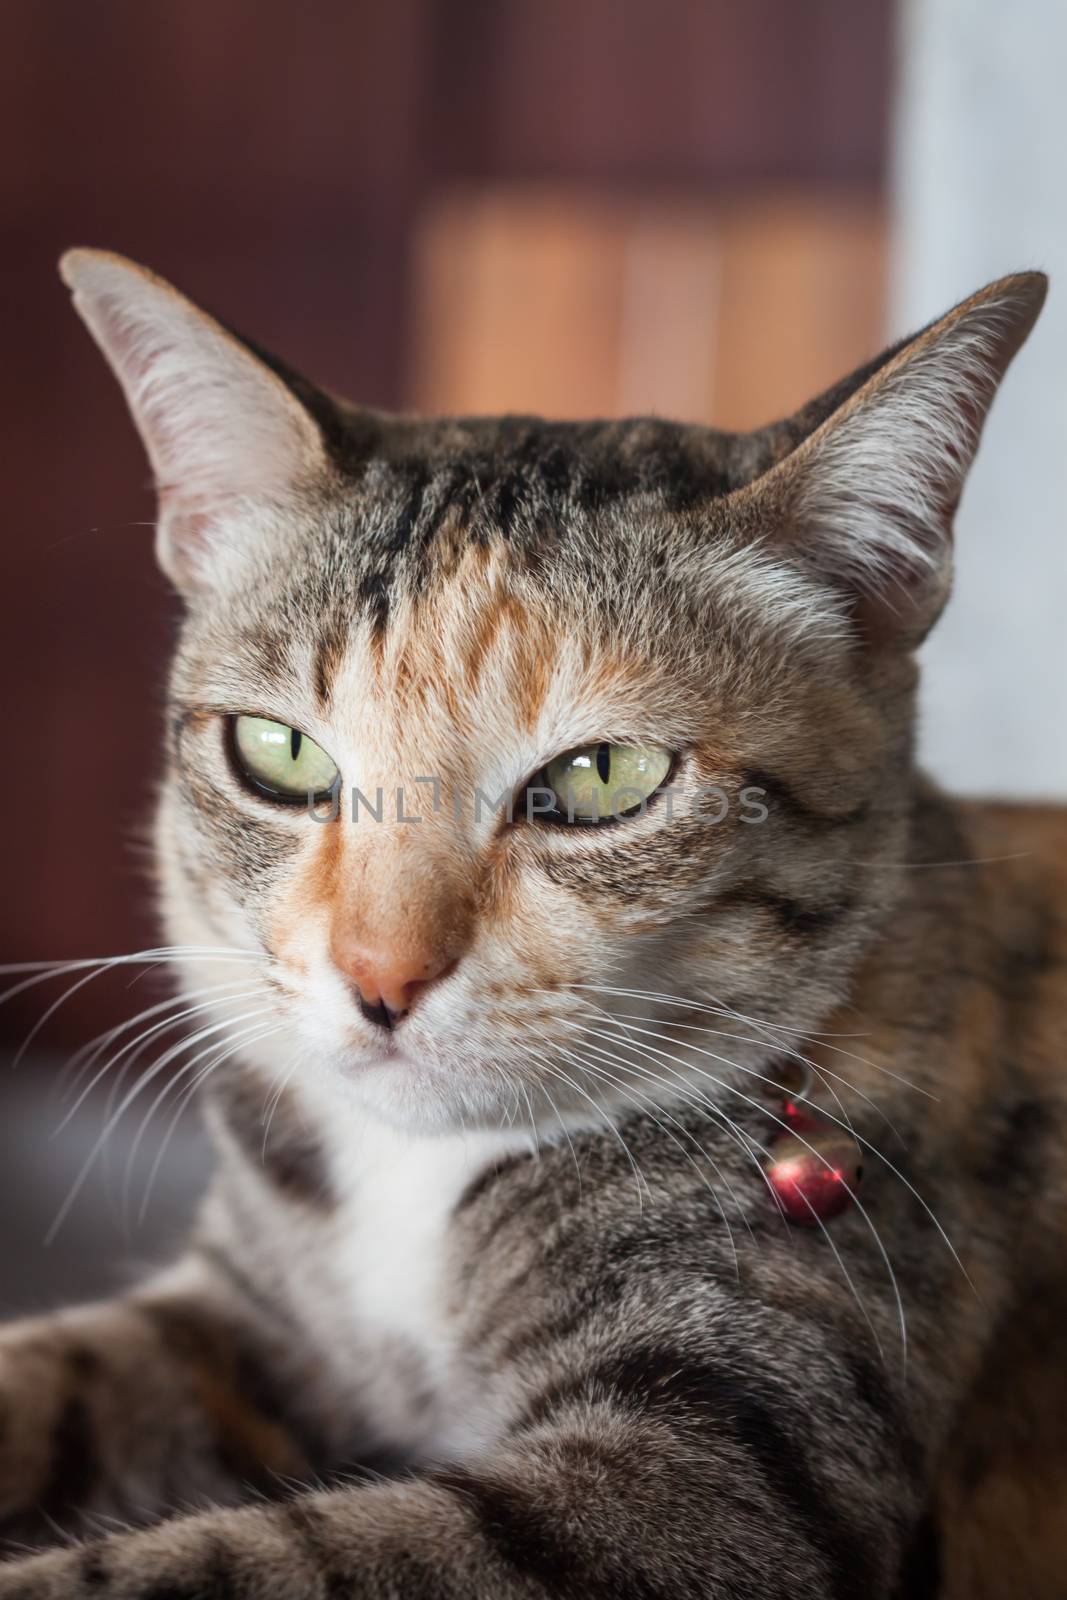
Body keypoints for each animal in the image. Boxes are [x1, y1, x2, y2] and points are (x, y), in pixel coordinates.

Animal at [0, 252, 1062, 1600]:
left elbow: (263, 1557)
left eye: (602, 775)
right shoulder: (250, 1326)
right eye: (279, 752)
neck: (419, 1178)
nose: (378, 976)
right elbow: (59, 1376)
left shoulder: (711, 1473)